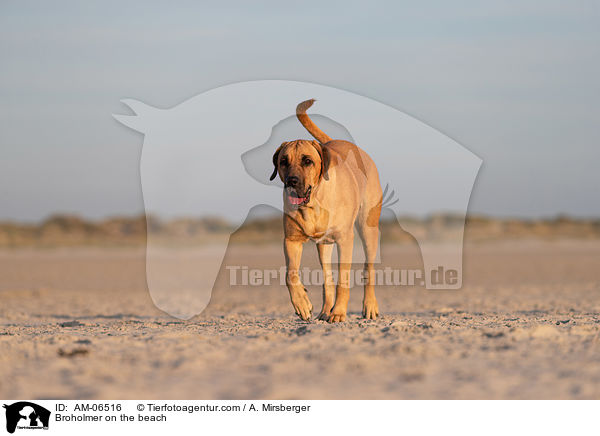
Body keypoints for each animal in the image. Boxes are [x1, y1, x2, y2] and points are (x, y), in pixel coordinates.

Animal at [270, 99, 382, 324]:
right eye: (283, 162)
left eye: (307, 161)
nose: (292, 181)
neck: (313, 204)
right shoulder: (291, 240)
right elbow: (290, 275)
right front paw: (302, 304)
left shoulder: (345, 240)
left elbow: (343, 280)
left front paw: (338, 312)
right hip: (324, 245)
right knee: (327, 277)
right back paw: (325, 310)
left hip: (368, 229)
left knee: (369, 268)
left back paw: (369, 306)